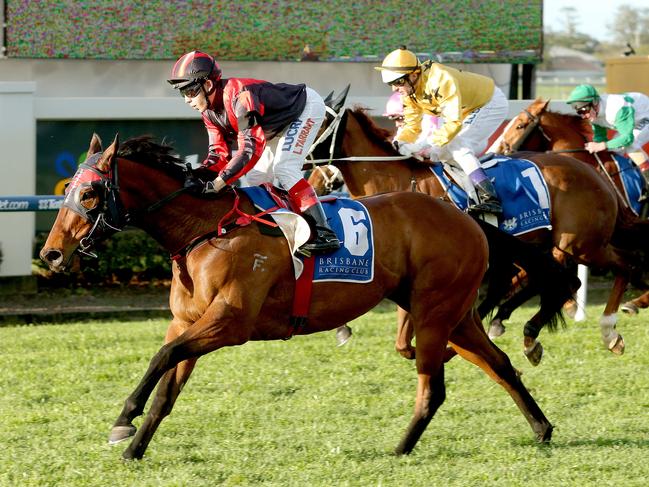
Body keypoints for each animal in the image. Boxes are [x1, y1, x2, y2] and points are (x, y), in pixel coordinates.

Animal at [38, 134, 552, 462]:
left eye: (89, 193)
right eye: (69, 191)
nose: (51, 254)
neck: (206, 230)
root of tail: (468, 219)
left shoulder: (230, 323)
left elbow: (162, 357)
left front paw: (124, 419)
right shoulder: (188, 323)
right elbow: (167, 384)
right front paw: (133, 447)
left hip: (433, 314)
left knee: (434, 387)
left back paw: (401, 448)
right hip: (454, 315)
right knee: (500, 365)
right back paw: (541, 429)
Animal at [306, 104, 648, 362]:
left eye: (319, 124)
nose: (315, 182)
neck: (397, 182)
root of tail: (594, 175)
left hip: (579, 244)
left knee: (623, 265)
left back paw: (610, 330)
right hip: (553, 245)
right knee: (565, 279)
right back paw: (526, 332)